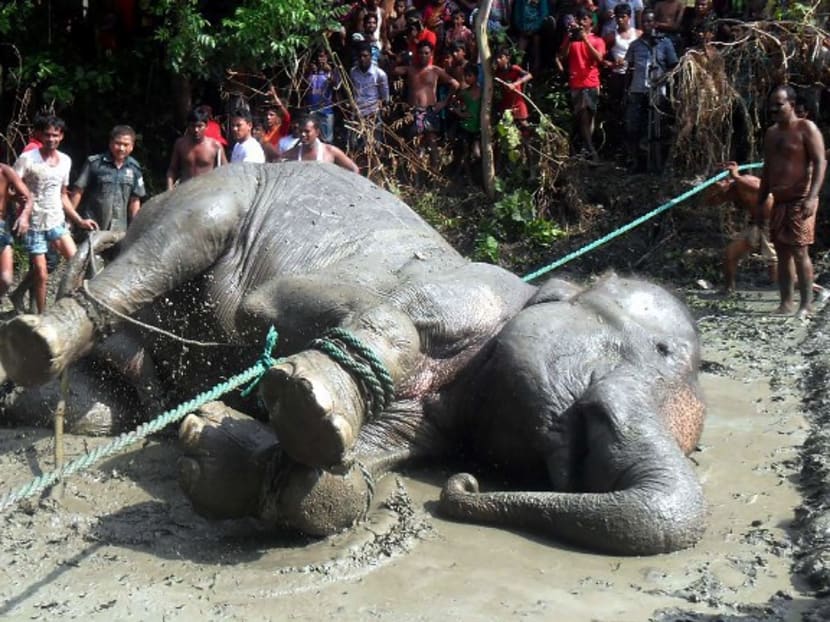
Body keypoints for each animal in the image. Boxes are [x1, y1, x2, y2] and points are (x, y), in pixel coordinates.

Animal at [0, 162, 706, 555]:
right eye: (658, 350)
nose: (463, 487)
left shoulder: (431, 422)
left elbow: (352, 472)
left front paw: (212, 443)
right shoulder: (469, 284)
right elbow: (273, 312)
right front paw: (306, 400)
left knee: (105, 409)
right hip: (216, 191)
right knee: (176, 242)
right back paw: (36, 342)